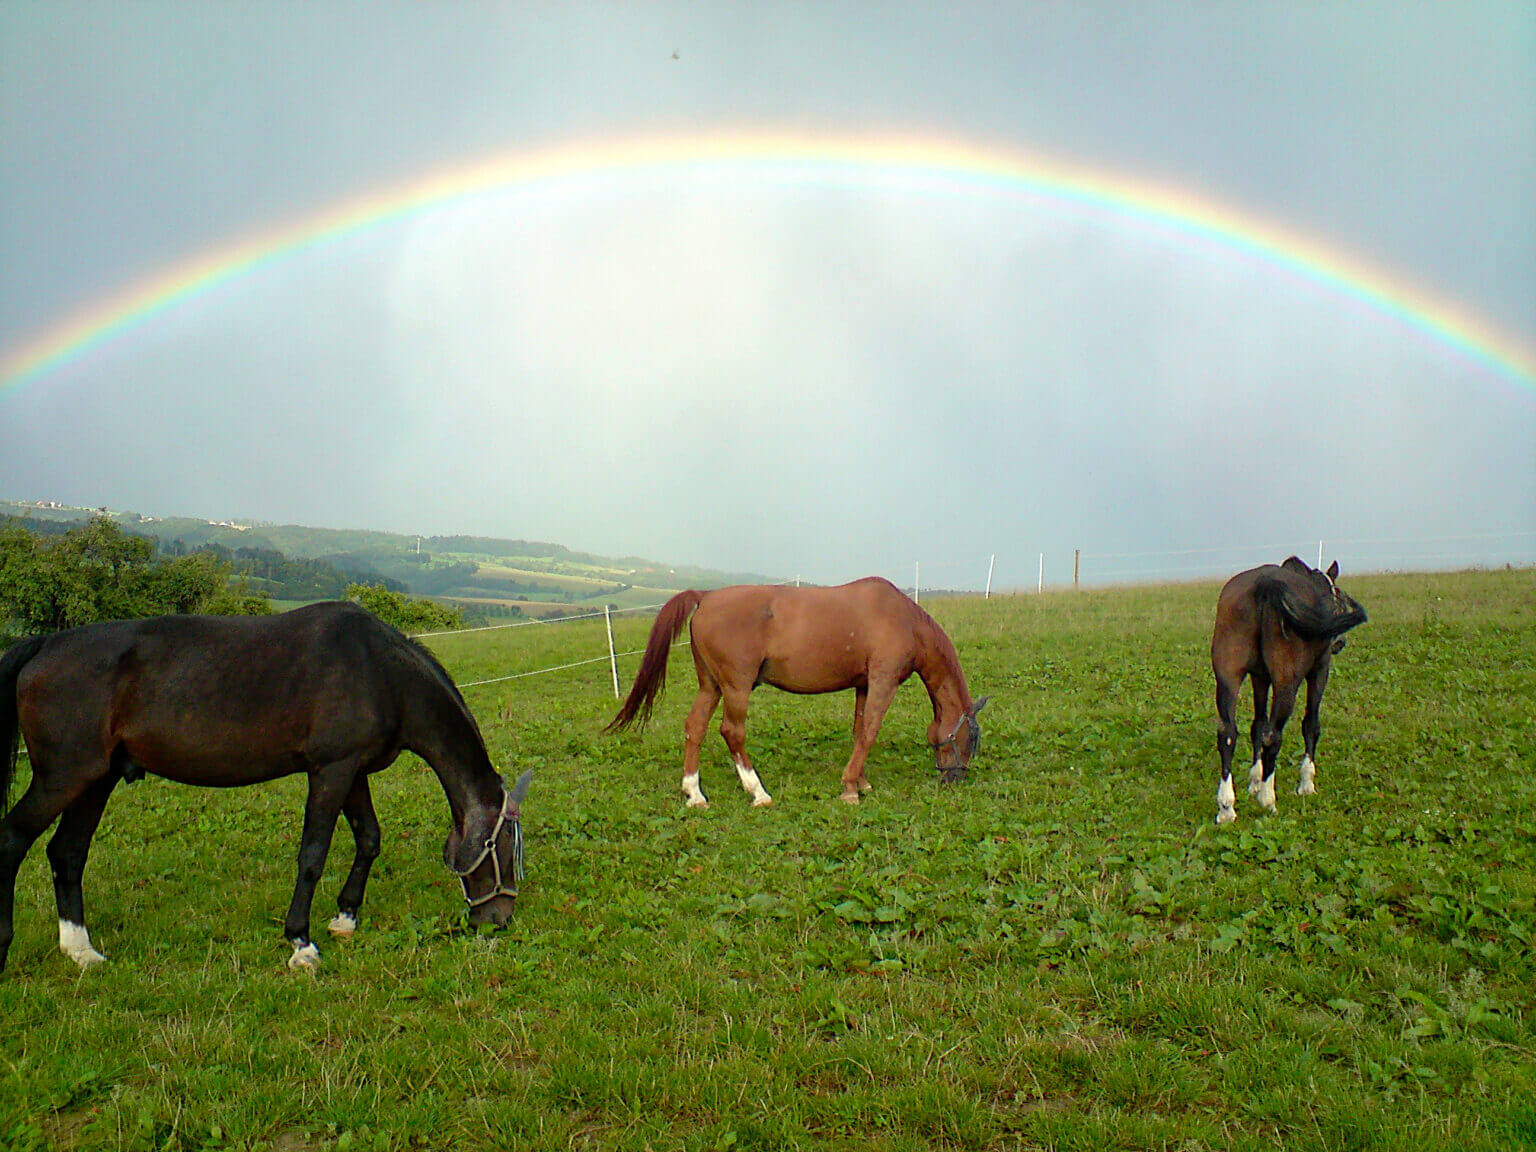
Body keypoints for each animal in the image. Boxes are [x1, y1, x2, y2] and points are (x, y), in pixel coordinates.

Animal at [0, 605, 531, 976]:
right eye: (502, 845)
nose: (500, 918)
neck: (379, 670)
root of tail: (44, 646)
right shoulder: (330, 771)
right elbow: (313, 854)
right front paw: (301, 944)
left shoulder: (352, 771)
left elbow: (369, 838)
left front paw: (345, 918)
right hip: (63, 778)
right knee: (13, 840)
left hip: (96, 780)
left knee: (67, 853)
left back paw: (81, 951)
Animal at [605, 577, 989, 811]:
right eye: (970, 739)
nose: (955, 779)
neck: (902, 619)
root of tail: (706, 597)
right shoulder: (883, 681)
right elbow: (869, 732)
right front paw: (850, 788)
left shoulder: (864, 684)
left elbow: (858, 731)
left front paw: (861, 781)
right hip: (736, 687)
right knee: (732, 732)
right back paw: (758, 792)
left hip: (711, 686)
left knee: (694, 728)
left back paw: (694, 793)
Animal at [1210, 556, 1370, 823]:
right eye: (1337, 595)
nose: (1339, 642)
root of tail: (1264, 583)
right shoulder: (1320, 670)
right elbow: (1311, 725)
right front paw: (1305, 783)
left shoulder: (1260, 677)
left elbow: (1257, 726)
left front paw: (1255, 781)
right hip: (1287, 682)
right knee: (1273, 735)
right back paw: (1268, 800)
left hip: (1227, 677)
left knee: (1228, 734)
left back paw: (1226, 807)